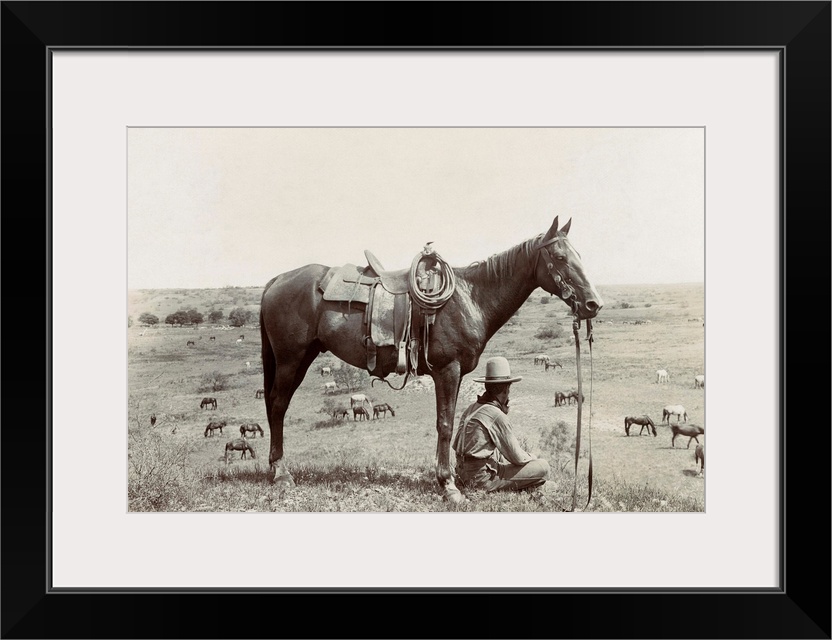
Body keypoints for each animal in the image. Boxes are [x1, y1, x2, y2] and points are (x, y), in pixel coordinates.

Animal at [256, 212, 600, 502]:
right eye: (560, 257)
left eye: (580, 257)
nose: (593, 304)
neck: (470, 297)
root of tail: (276, 281)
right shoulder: (447, 370)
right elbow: (445, 424)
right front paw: (448, 486)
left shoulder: (456, 373)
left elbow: (451, 421)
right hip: (290, 360)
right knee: (278, 406)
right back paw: (281, 474)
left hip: (301, 359)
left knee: (275, 406)